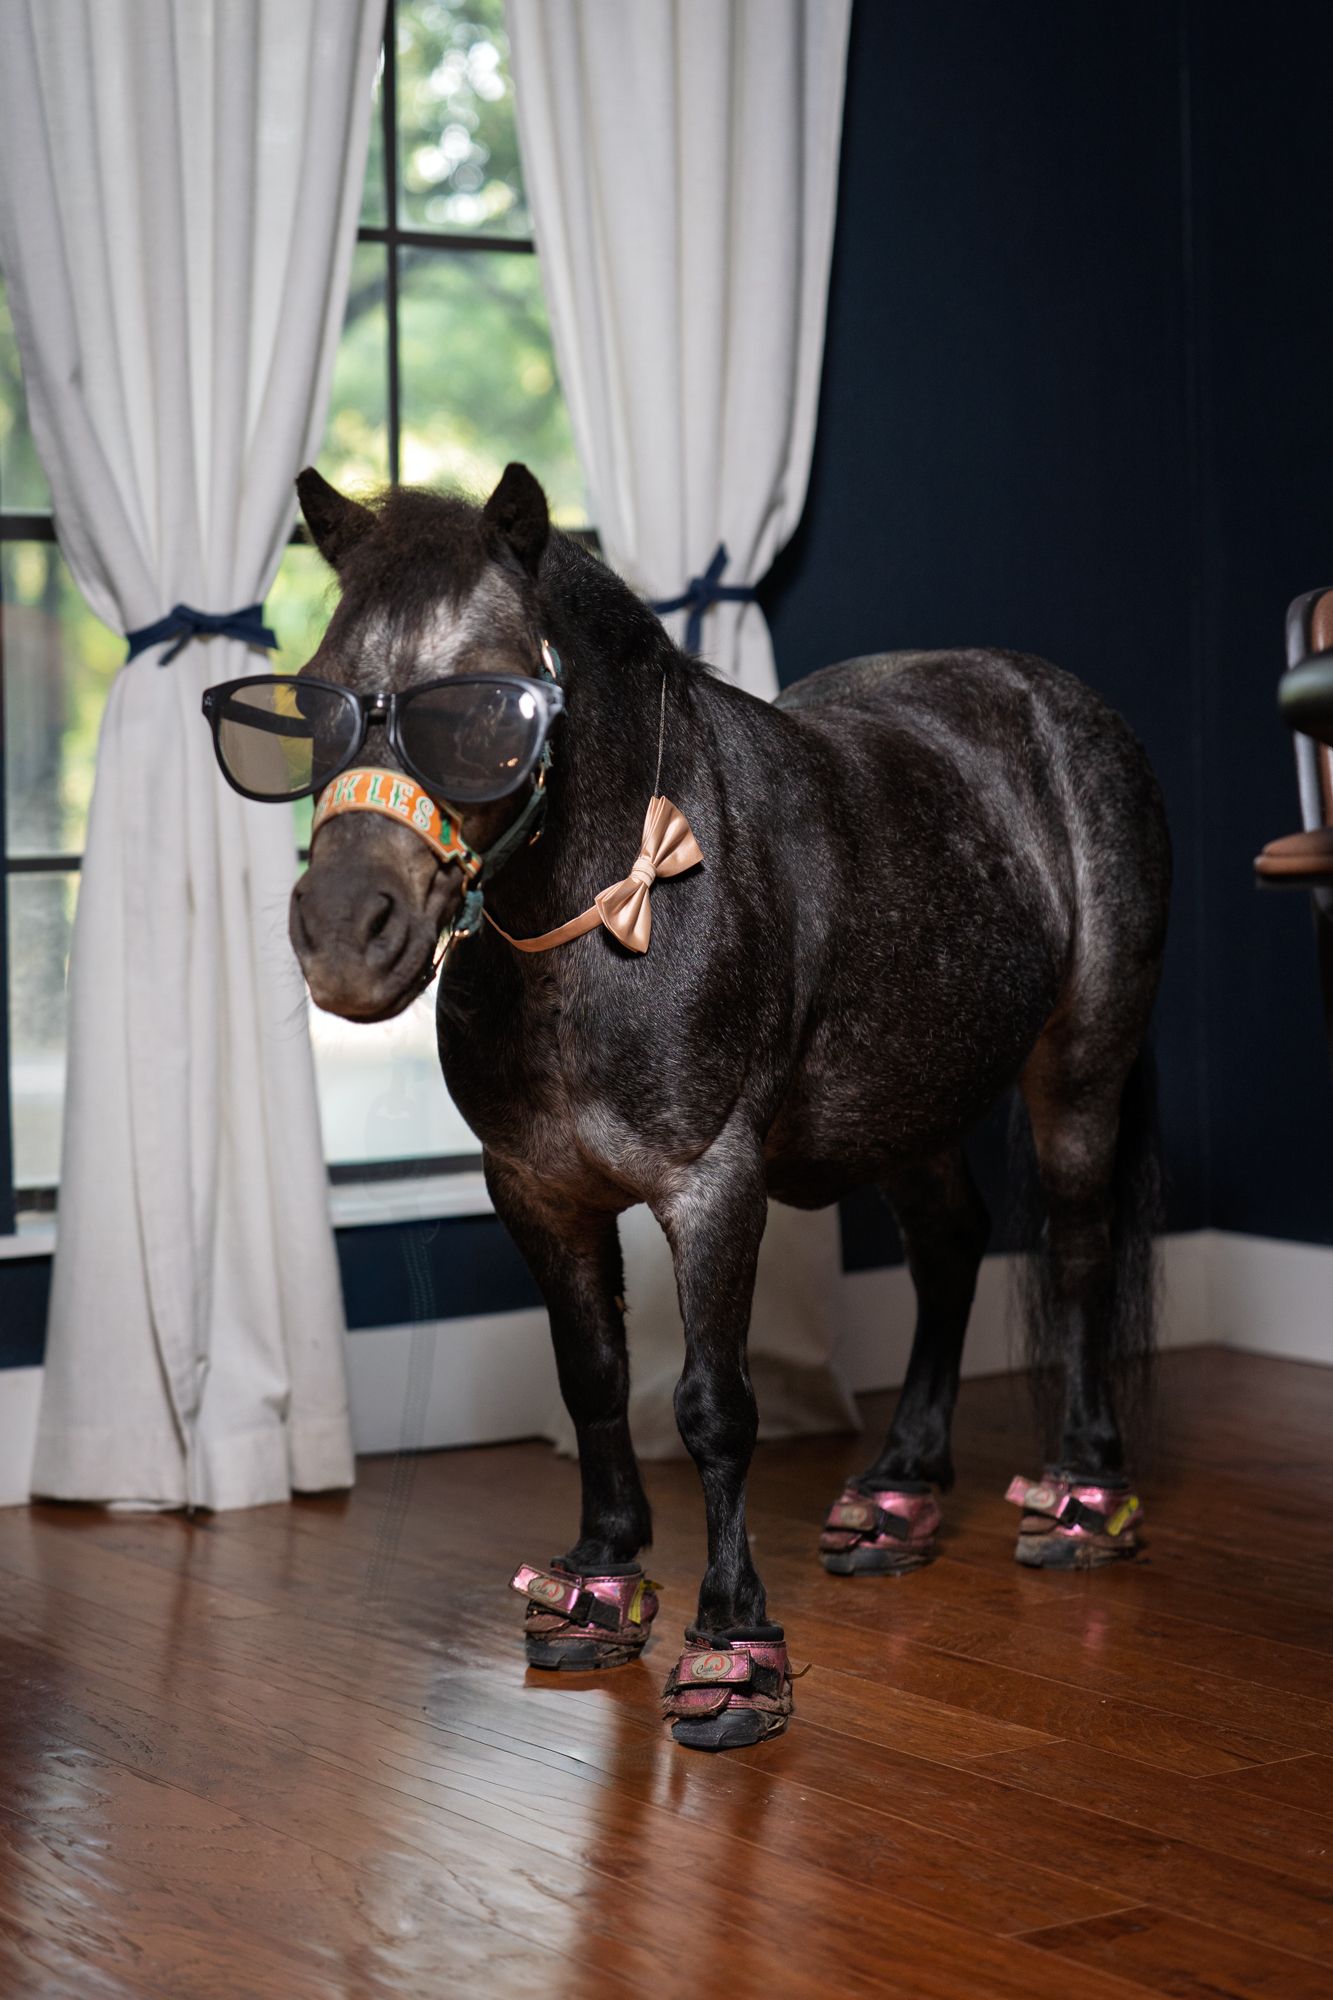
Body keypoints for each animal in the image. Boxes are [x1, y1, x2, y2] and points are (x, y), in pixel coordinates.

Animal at [275, 460, 1171, 1750]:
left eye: (485, 706)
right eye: (315, 695)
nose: (347, 934)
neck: (608, 927)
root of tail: (1052, 703)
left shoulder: (712, 1187)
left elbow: (713, 1406)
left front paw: (733, 1645)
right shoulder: (537, 1190)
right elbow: (593, 1374)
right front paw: (598, 1584)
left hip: (1082, 1061)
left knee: (1081, 1249)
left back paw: (1082, 1494)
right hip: (902, 1096)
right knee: (951, 1243)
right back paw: (898, 1490)